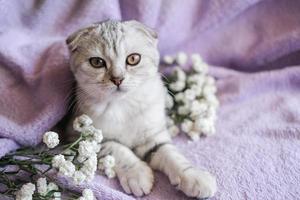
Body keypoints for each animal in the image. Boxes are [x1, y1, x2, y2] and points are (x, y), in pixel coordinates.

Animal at [65, 19, 217, 198]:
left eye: (133, 59)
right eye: (97, 62)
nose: (118, 79)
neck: (123, 106)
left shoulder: (153, 135)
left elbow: (170, 154)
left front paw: (194, 176)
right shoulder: (81, 137)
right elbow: (116, 148)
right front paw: (137, 174)